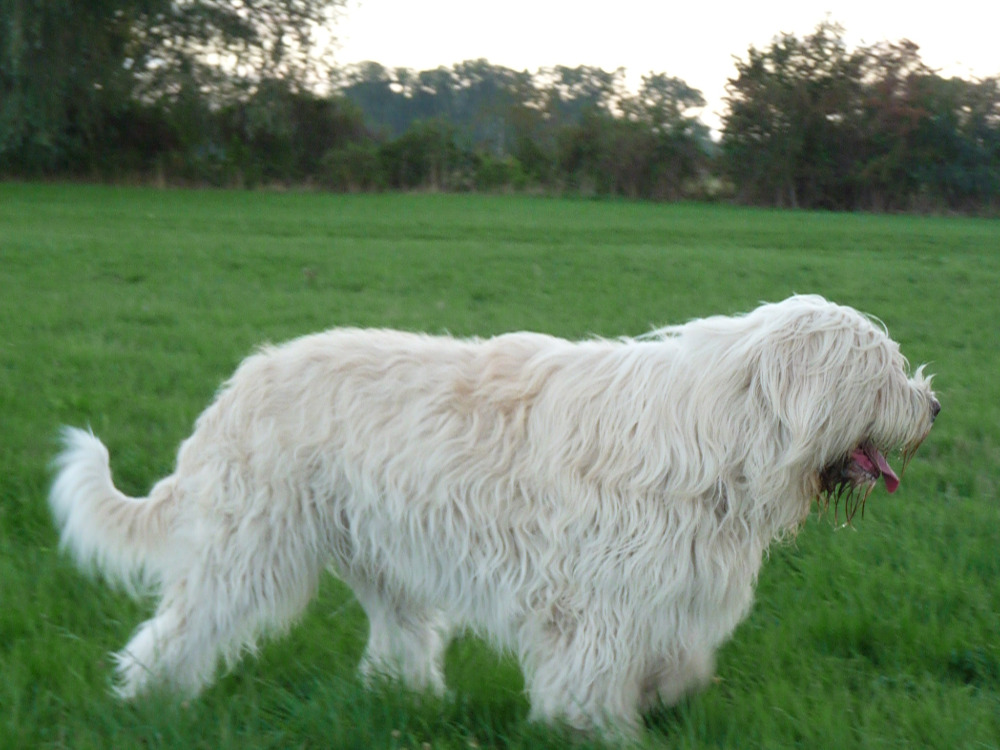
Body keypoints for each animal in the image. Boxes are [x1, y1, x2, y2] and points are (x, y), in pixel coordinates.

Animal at [50, 295, 938, 734]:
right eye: (881, 370)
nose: (933, 404)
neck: (720, 433)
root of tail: (240, 384)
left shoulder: (670, 593)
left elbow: (678, 662)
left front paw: (663, 699)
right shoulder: (600, 601)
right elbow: (591, 678)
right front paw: (596, 728)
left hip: (386, 556)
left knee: (398, 639)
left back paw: (407, 700)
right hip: (251, 548)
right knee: (182, 626)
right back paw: (145, 699)